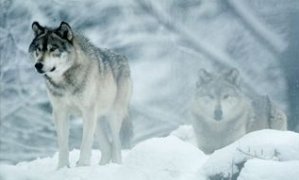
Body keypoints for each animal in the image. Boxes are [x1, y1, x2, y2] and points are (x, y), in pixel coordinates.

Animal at [28, 21, 134, 168]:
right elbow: (63, 145)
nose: (38, 65)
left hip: (112, 116)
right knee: (108, 147)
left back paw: (116, 165)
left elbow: (85, 144)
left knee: (116, 145)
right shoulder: (60, 112)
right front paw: (62, 168)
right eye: (38, 49)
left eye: (52, 49)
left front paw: (82, 165)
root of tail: (123, 57)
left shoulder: (88, 112)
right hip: (98, 121)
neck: (65, 82)